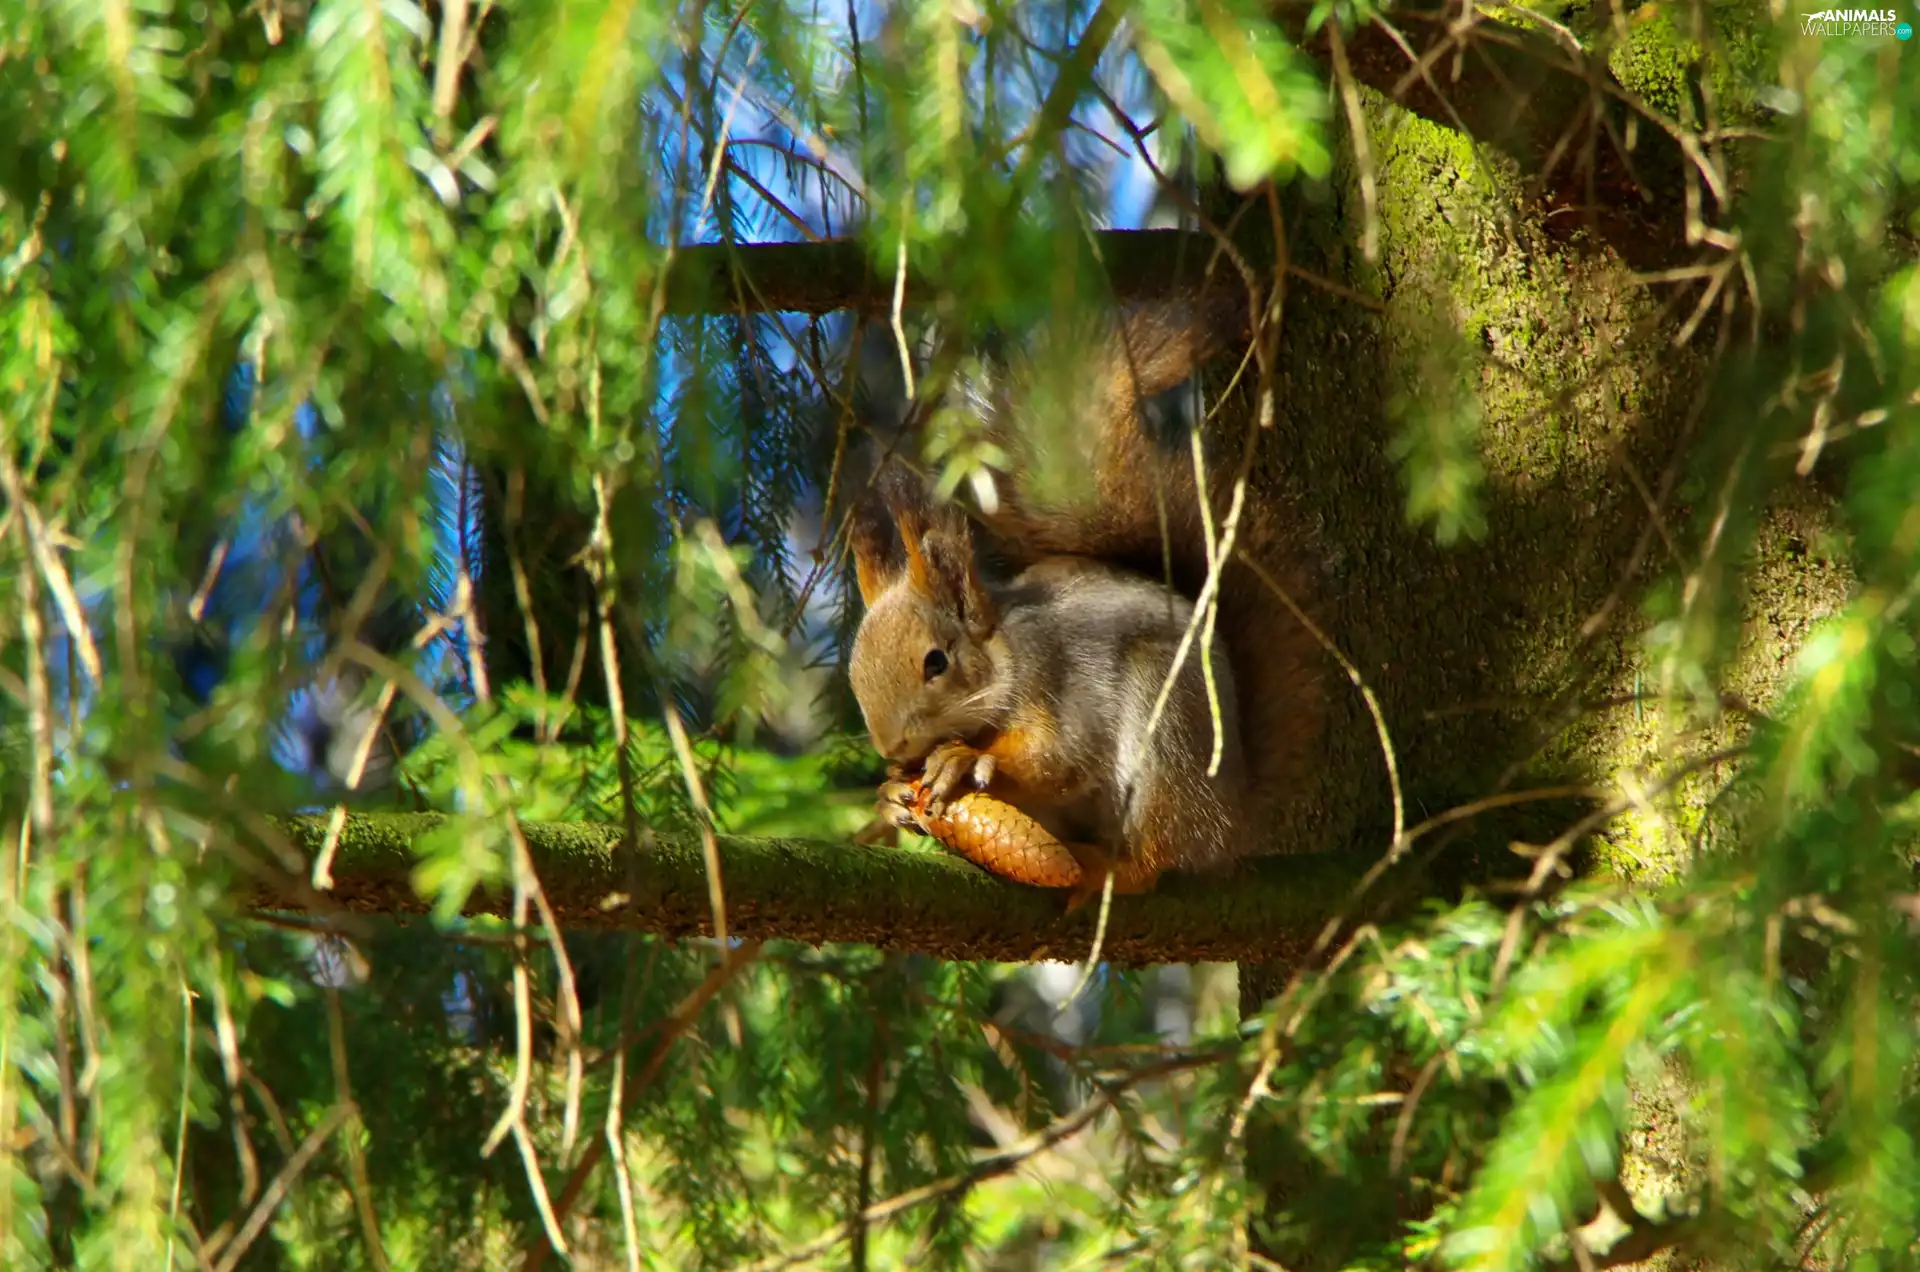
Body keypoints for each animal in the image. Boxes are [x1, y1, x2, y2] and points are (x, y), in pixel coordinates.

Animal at [845, 298, 1323, 906]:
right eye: (854, 678)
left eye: (936, 662)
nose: (893, 749)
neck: (1004, 655)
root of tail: (1232, 822)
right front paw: (889, 796)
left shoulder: (1058, 679)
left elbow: (1060, 758)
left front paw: (967, 759)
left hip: (1170, 729)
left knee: (1159, 852)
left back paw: (1116, 870)